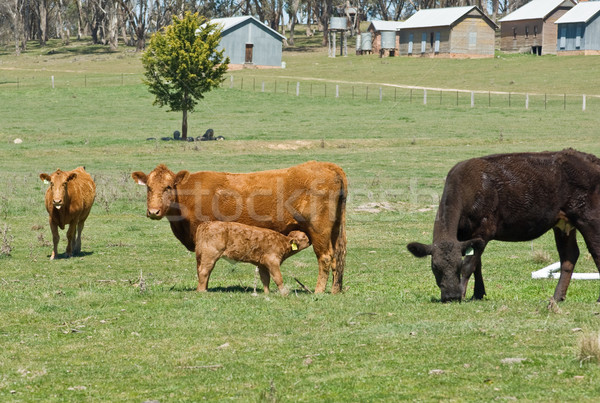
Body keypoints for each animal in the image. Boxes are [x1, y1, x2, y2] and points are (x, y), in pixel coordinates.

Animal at [131, 161, 346, 294]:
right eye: (148, 187)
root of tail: (327, 165)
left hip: (319, 230)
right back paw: (334, 290)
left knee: (325, 257)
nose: (153, 211)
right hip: (335, 230)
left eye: (168, 187)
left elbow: (203, 266)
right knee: (338, 257)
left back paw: (318, 291)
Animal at [408, 148, 600, 304]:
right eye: (435, 267)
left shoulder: (483, 230)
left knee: (595, 251)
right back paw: (557, 297)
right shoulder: (468, 236)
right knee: (569, 256)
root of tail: (590, 158)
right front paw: (478, 294)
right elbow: (477, 265)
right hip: (563, 223)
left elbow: (470, 265)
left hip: (589, 218)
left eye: (457, 265)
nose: (450, 296)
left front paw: (463, 292)